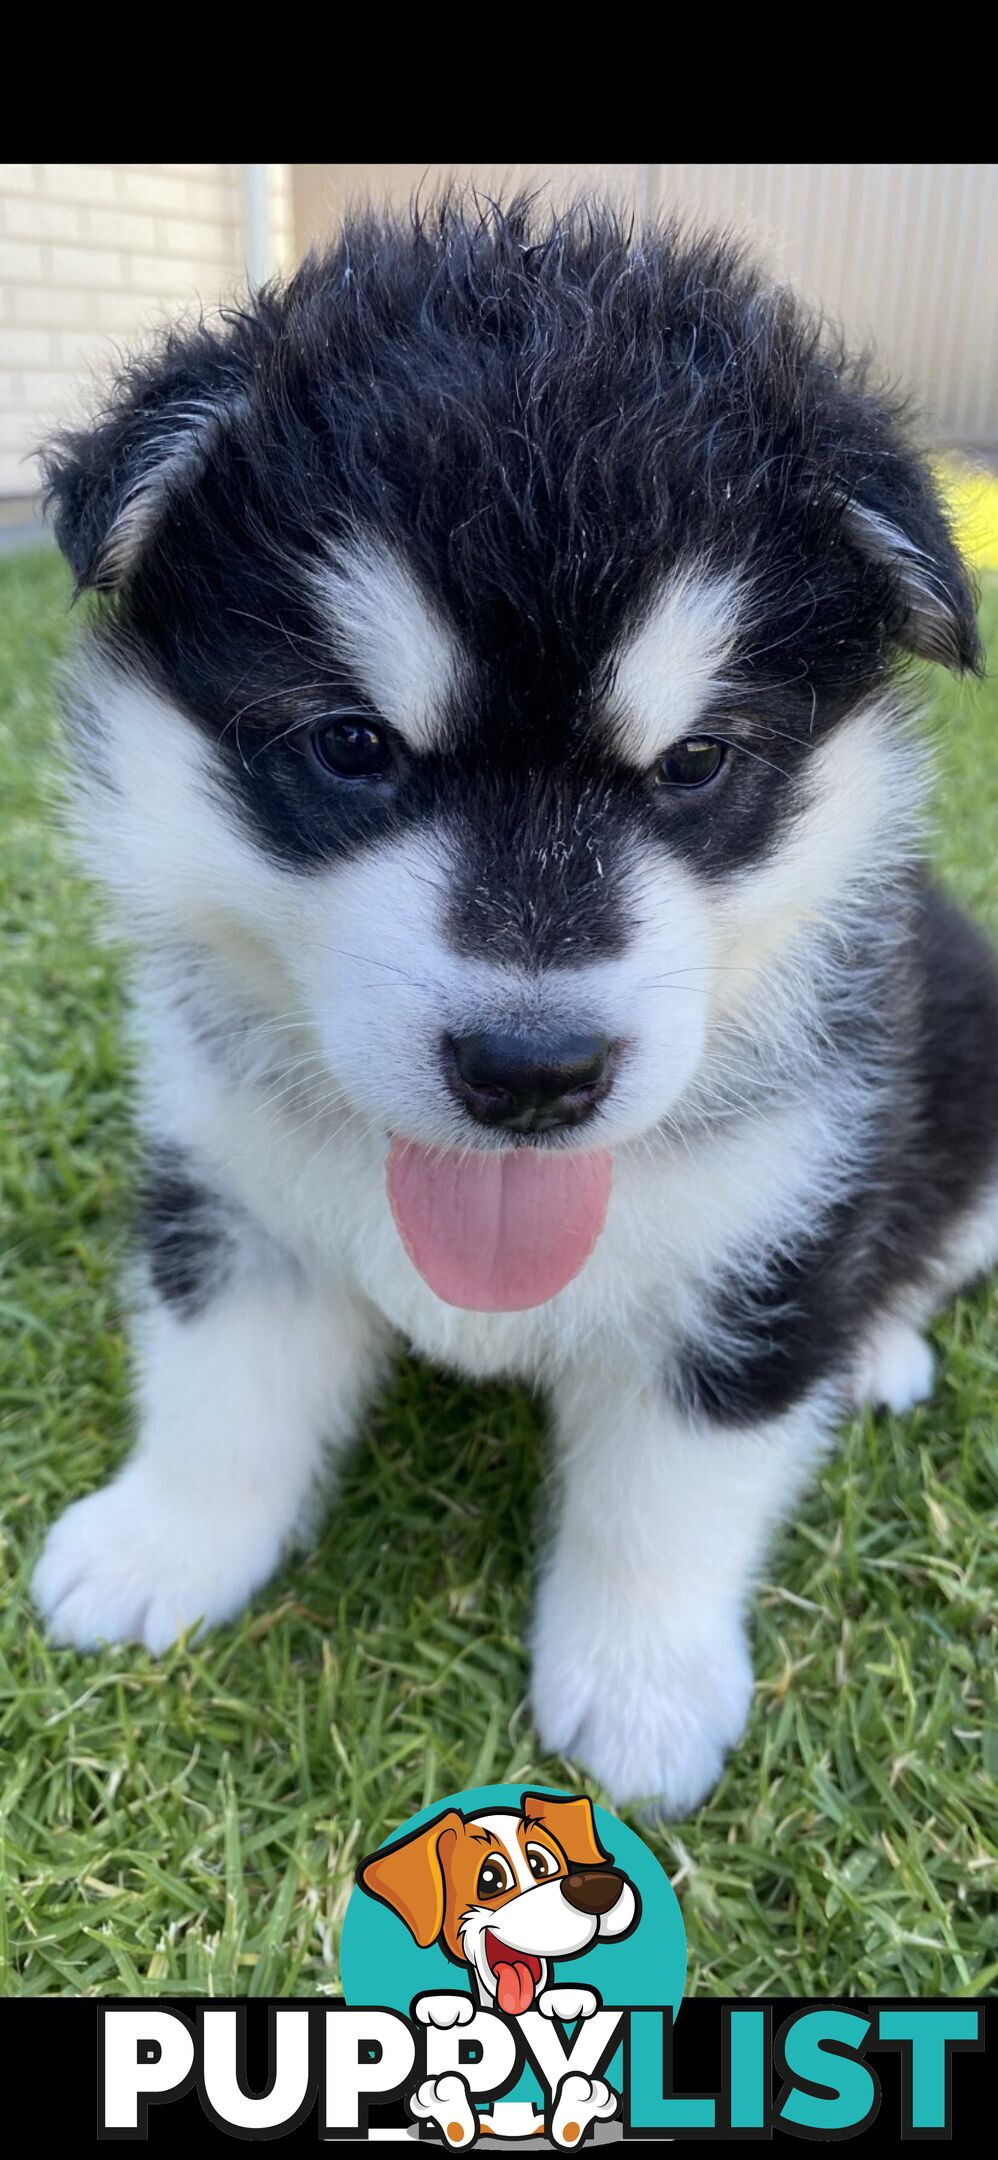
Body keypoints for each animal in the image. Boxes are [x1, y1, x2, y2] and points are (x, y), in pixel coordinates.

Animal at [33, 206, 998, 1823]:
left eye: (694, 763)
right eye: (350, 747)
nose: (532, 1071)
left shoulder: (753, 1251)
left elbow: (673, 1487)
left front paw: (644, 1683)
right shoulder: (233, 1191)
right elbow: (220, 1388)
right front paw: (161, 1539)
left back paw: (872, 1348)